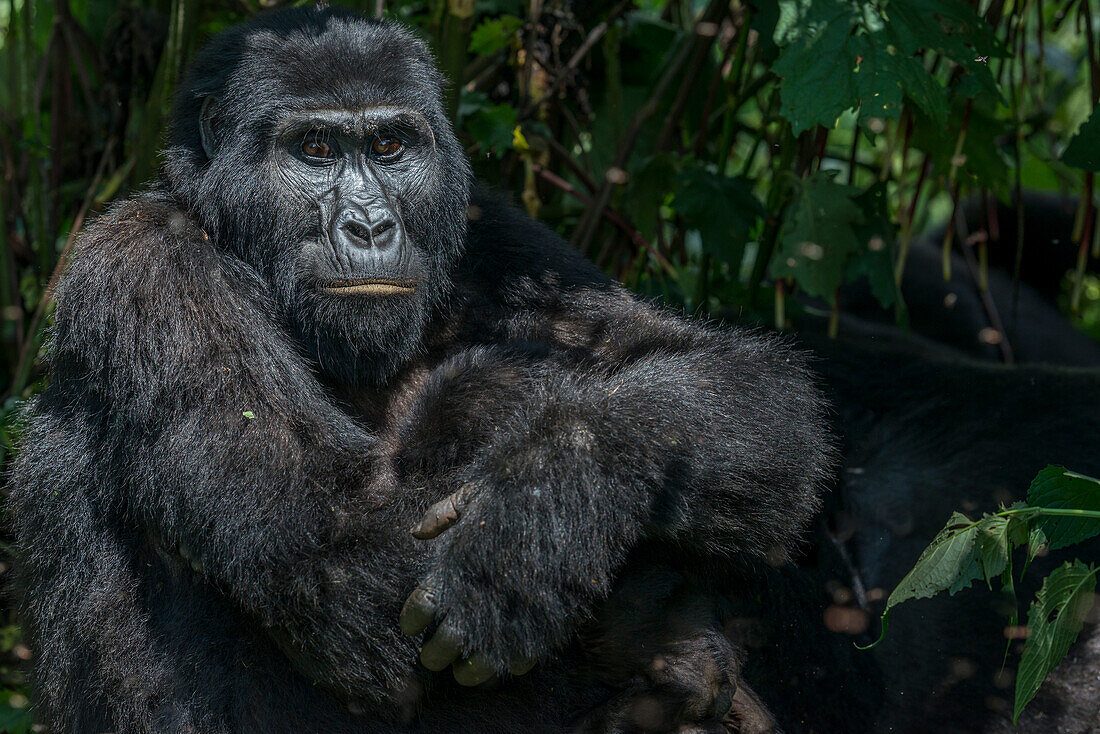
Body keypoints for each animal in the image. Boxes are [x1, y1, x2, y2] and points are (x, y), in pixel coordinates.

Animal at [8, 7, 827, 734]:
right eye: (315, 148)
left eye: (390, 144)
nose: (370, 226)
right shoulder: (149, 269)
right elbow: (334, 545)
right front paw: (566, 573)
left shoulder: (494, 231)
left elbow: (736, 388)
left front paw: (550, 503)